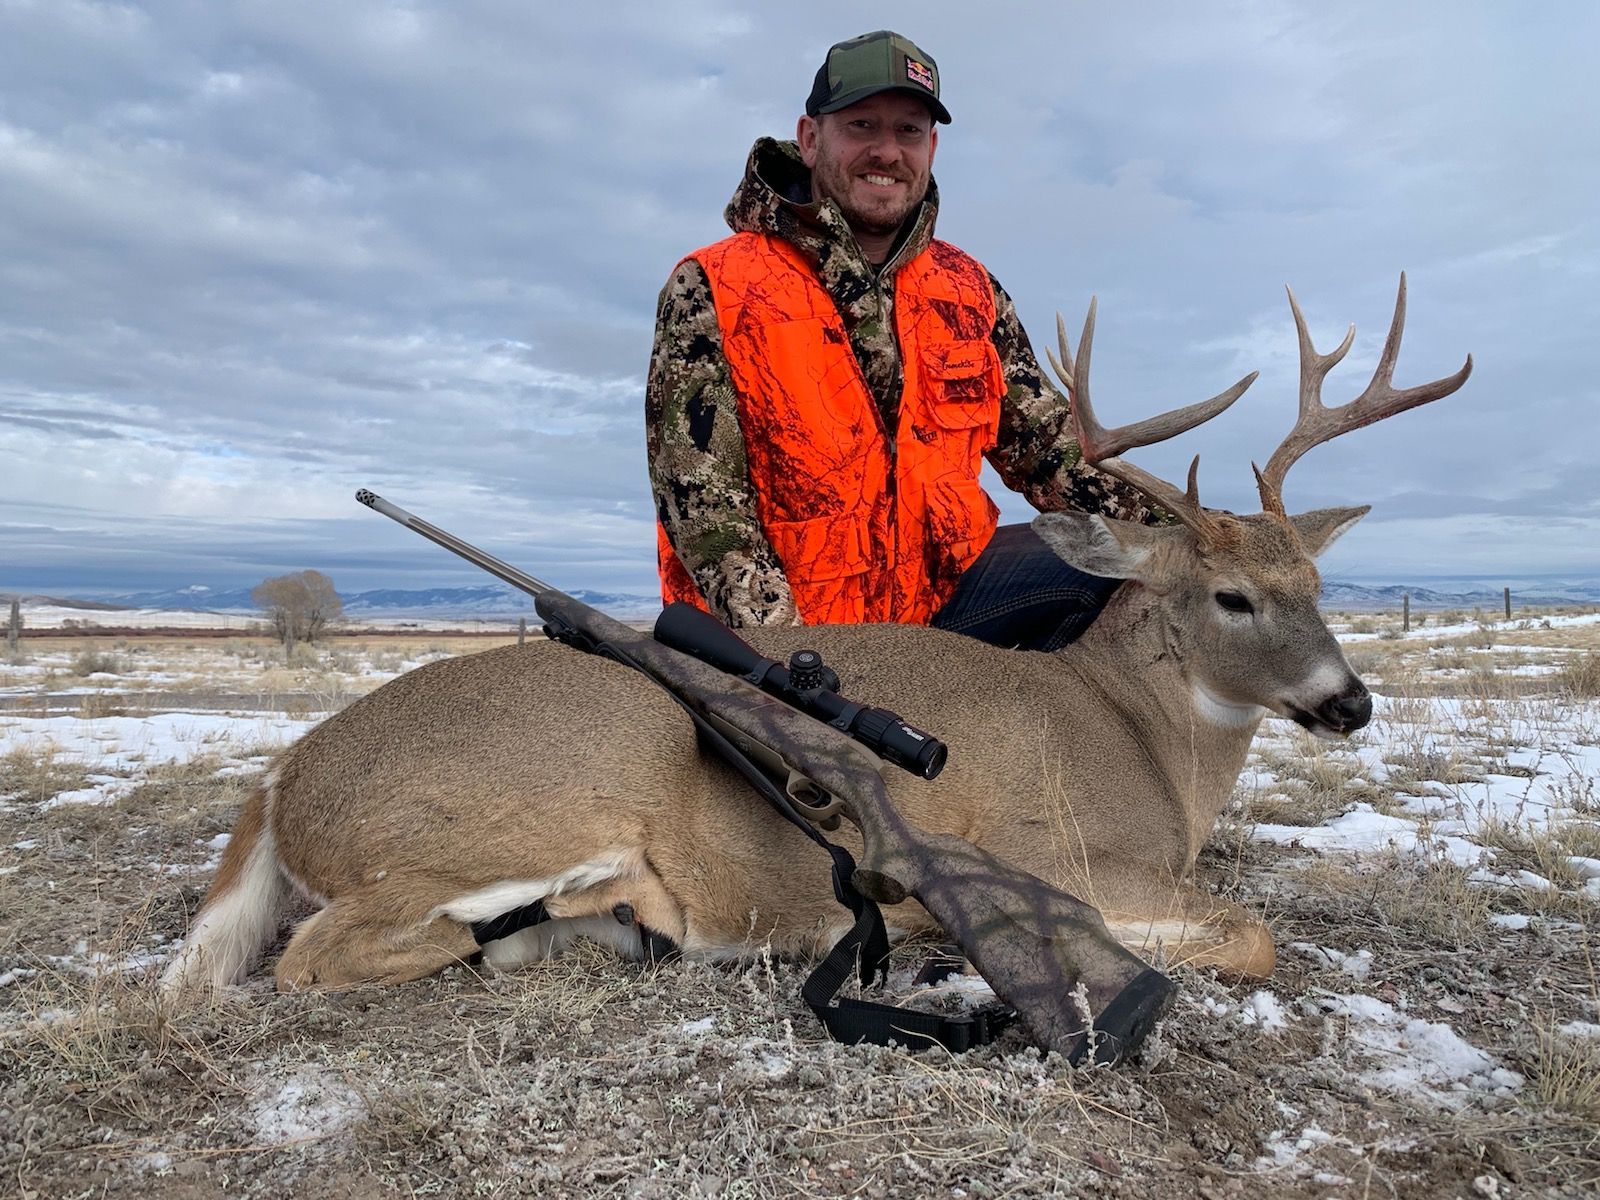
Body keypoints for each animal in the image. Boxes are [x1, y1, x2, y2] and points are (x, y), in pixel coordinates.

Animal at [162, 275, 1470, 1000]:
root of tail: (283, 776)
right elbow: (1247, 936)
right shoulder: (1054, 847)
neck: (1145, 738)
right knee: (314, 952)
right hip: (536, 799)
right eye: (1231, 598)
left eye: (1315, 579)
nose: (1349, 701)